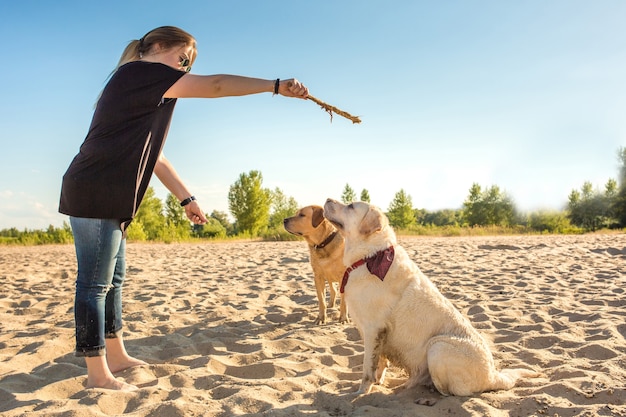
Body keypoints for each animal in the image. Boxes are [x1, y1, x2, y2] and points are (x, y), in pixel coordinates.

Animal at [322, 200, 536, 394]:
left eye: (350, 206)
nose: (327, 199)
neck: (370, 257)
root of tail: (493, 376)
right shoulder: (378, 334)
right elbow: (380, 362)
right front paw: (378, 382)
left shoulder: (373, 329)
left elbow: (368, 368)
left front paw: (361, 391)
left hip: (437, 346)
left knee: (448, 392)